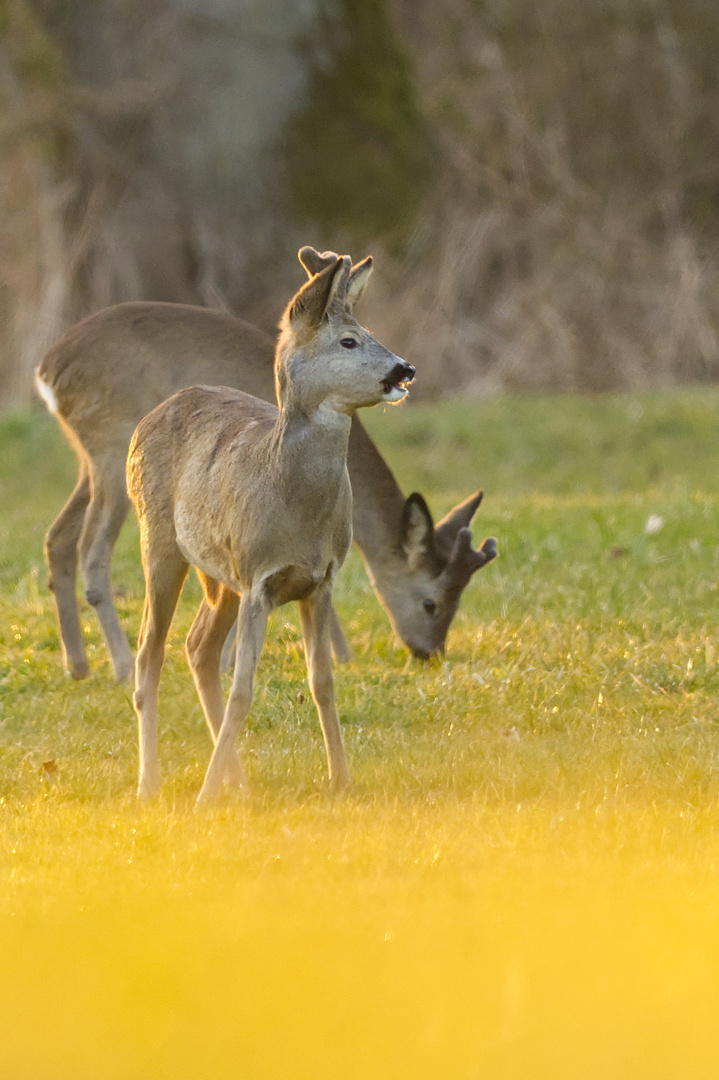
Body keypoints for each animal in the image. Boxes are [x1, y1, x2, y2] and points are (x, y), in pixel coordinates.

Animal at [36, 248, 496, 678]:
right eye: (430, 602)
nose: (431, 652)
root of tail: (48, 369)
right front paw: (232, 659)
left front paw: (337, 654)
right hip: (112, 445)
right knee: (92, 551)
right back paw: (122, 665)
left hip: (91, 458)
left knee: (58, 536)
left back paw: (78, 664)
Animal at [125, 248, 412, 799]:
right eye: (348, 340)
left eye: (365, 330)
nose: (404, 368)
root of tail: (148, 418)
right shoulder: (258, 577)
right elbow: (245, 689)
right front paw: (202, 800)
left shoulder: (322, 580)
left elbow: (323, 682)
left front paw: (340, 781)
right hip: (159, 540)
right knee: (149, 654)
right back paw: (151, 785)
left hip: (219, 577)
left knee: (198, 648)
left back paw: (236, 782)